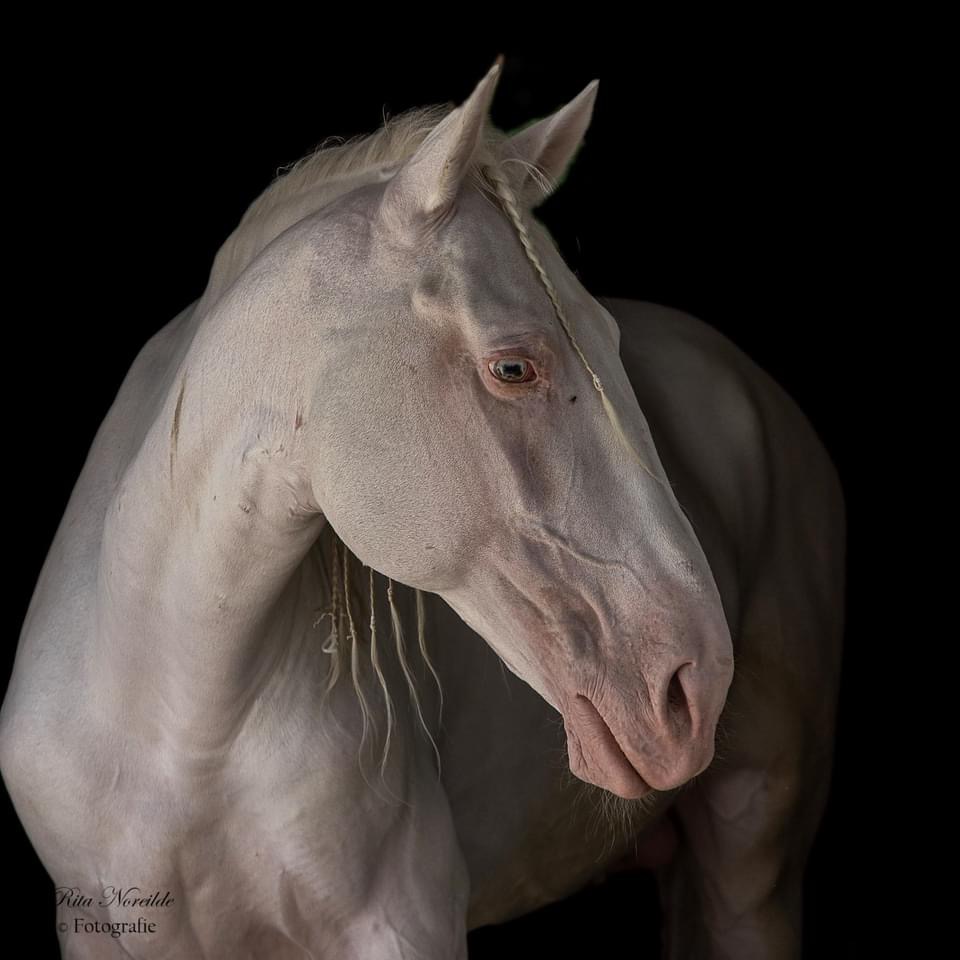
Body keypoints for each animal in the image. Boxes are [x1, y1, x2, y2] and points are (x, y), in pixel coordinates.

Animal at [0, 59, 845, 958]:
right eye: (513, 368)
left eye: (615, 346)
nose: (697, 682)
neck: (176, 722)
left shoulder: (404, 925)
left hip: (752, 877)